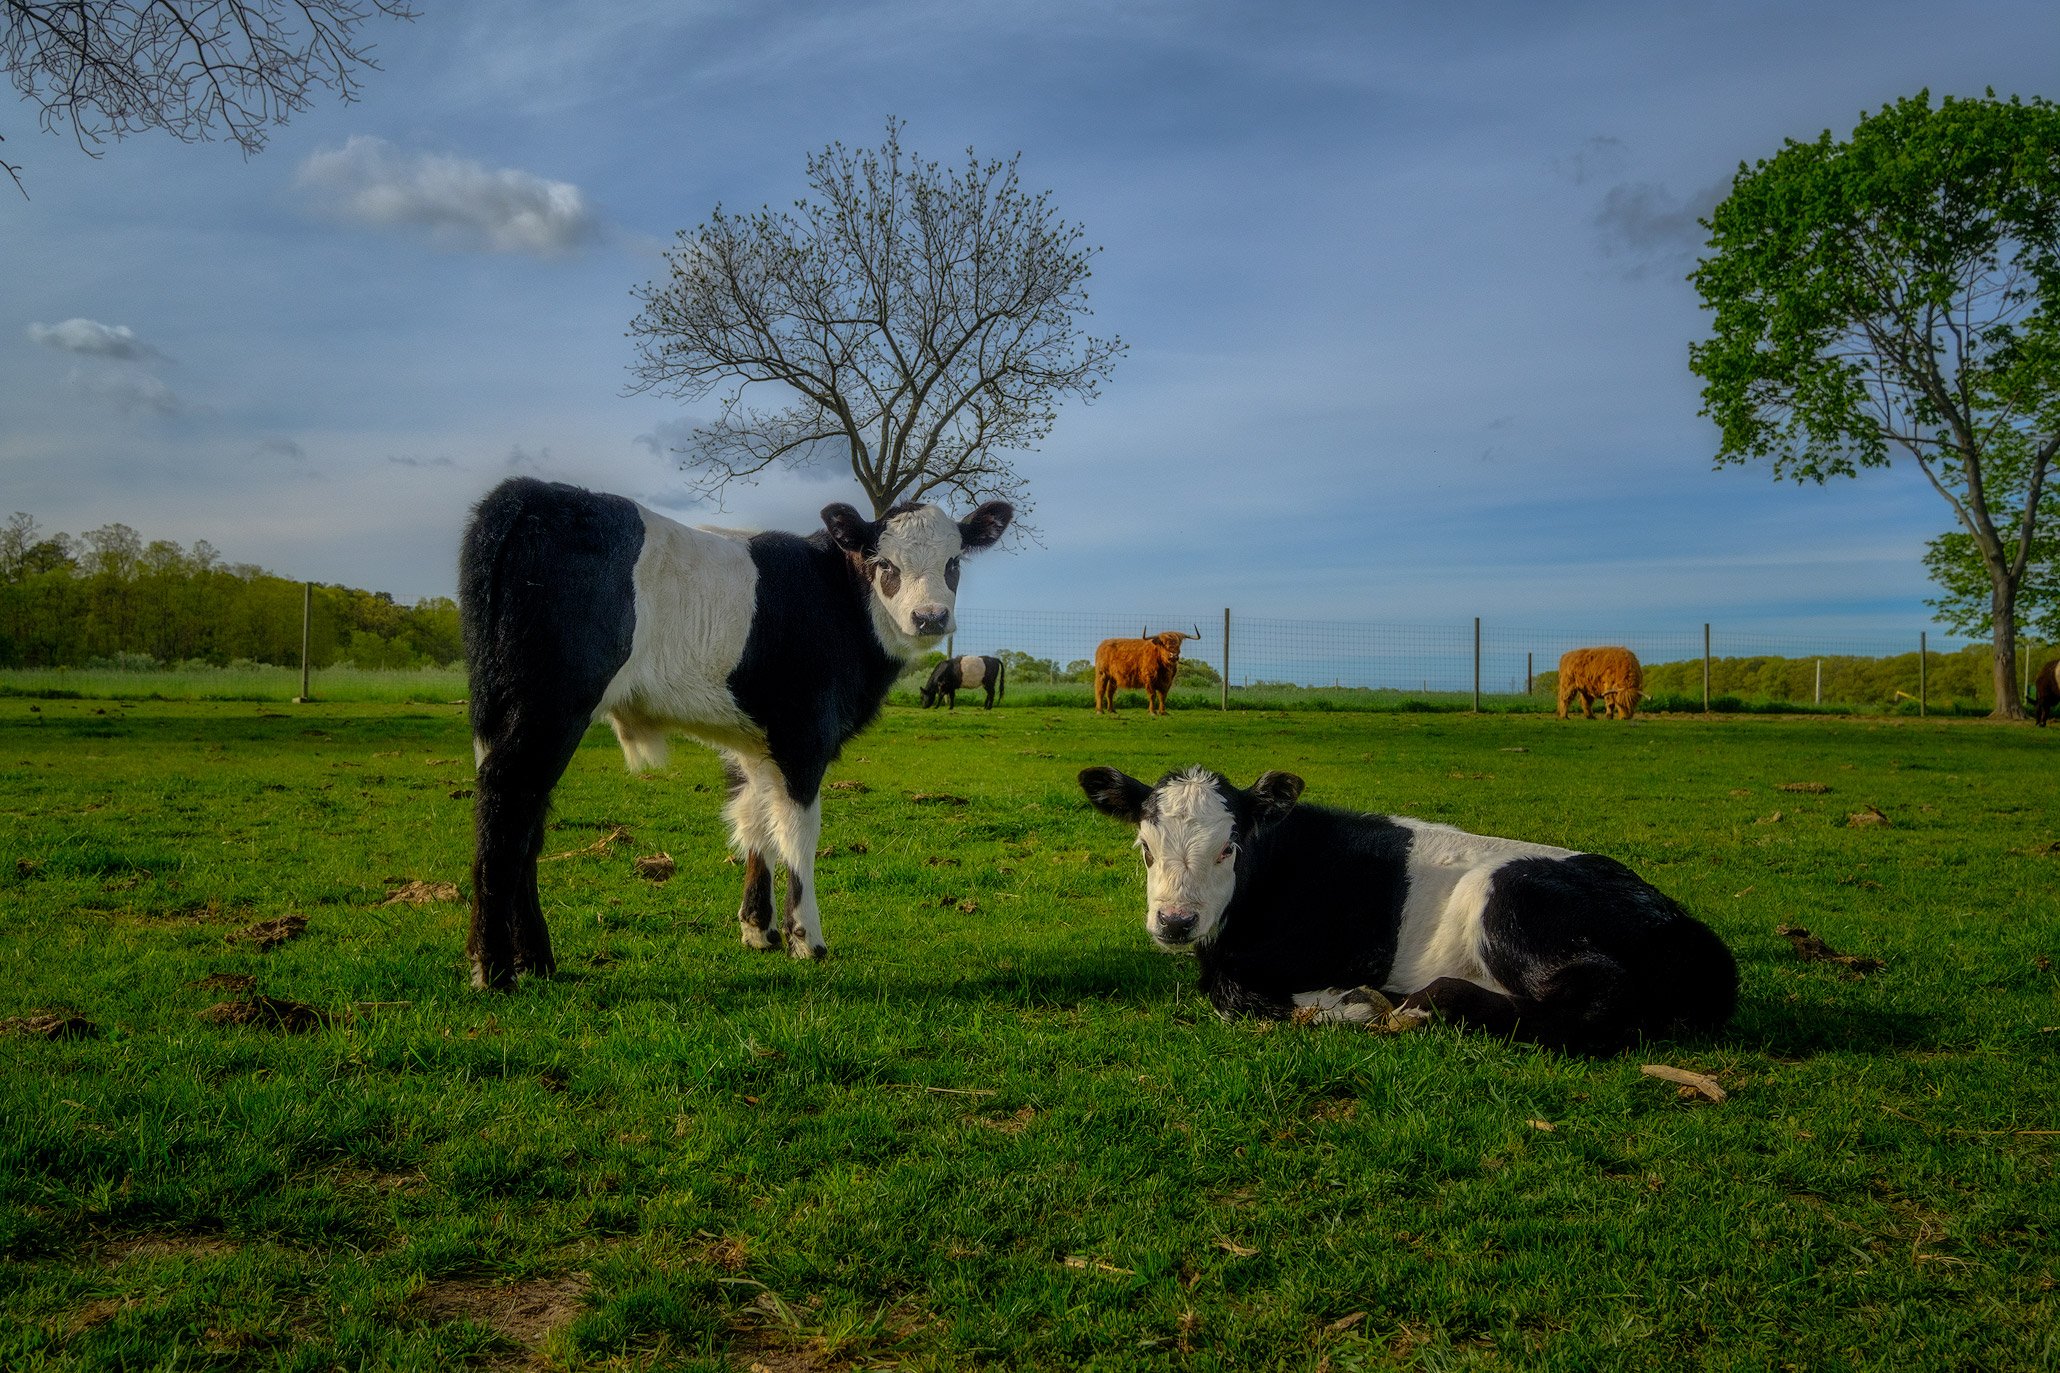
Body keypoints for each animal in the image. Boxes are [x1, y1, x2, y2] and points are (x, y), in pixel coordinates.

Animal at [467, 475, 1013, 988]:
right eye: (884, 565)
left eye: (954, 562)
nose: (930, 617)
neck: (836, 597)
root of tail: (530, 492)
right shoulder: (803, 738)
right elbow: (797, 833)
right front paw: (805, 938)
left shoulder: (754, 742)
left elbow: (754, 819)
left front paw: (757, 927)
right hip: (549, 707)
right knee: (508, 806)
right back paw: (494, 970)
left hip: (502, 711)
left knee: (526, 821)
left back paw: (536, 959)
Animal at [1079, 761, 1738, 1053]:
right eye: (1144, 848)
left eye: (1228, 848)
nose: (1175, 921)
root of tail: (1693, 931)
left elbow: (1232, 994)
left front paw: (1347, 1004)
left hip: (1507, 901)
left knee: (1600, 995)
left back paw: (1425, 1004)